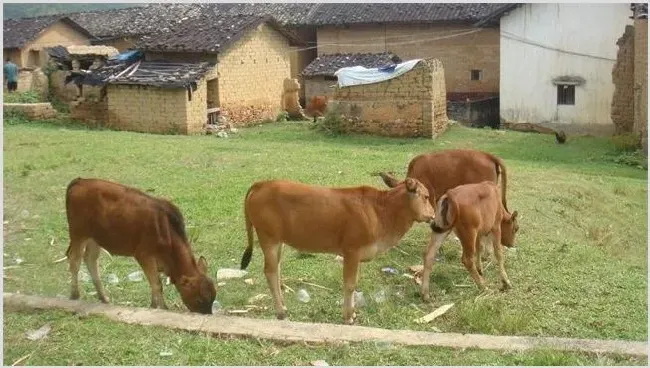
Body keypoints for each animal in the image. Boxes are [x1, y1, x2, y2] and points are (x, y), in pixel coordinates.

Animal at [66, 178, 218, 314]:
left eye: (213, 298)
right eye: (199, 300)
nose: (207, 314)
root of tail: (80, 181)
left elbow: (155, 283)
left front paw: (154, 305)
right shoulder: (144, 255)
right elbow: (157, 284)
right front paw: (162, 307)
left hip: (95, 238)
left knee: (90, 260)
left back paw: (104, 298)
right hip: (78, 234)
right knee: (74, 260)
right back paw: (74, 295)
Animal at [238, 178, 430, 324]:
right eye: (427, 196)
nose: (433, 215)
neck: (381, 210)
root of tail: (262, 184)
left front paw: (352, 312)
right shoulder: (351, 251)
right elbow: (350, 285)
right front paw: (348, 316)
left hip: (278, 242)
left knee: (277, 269)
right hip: (268, 238)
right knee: (270, 271)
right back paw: (280, 311)